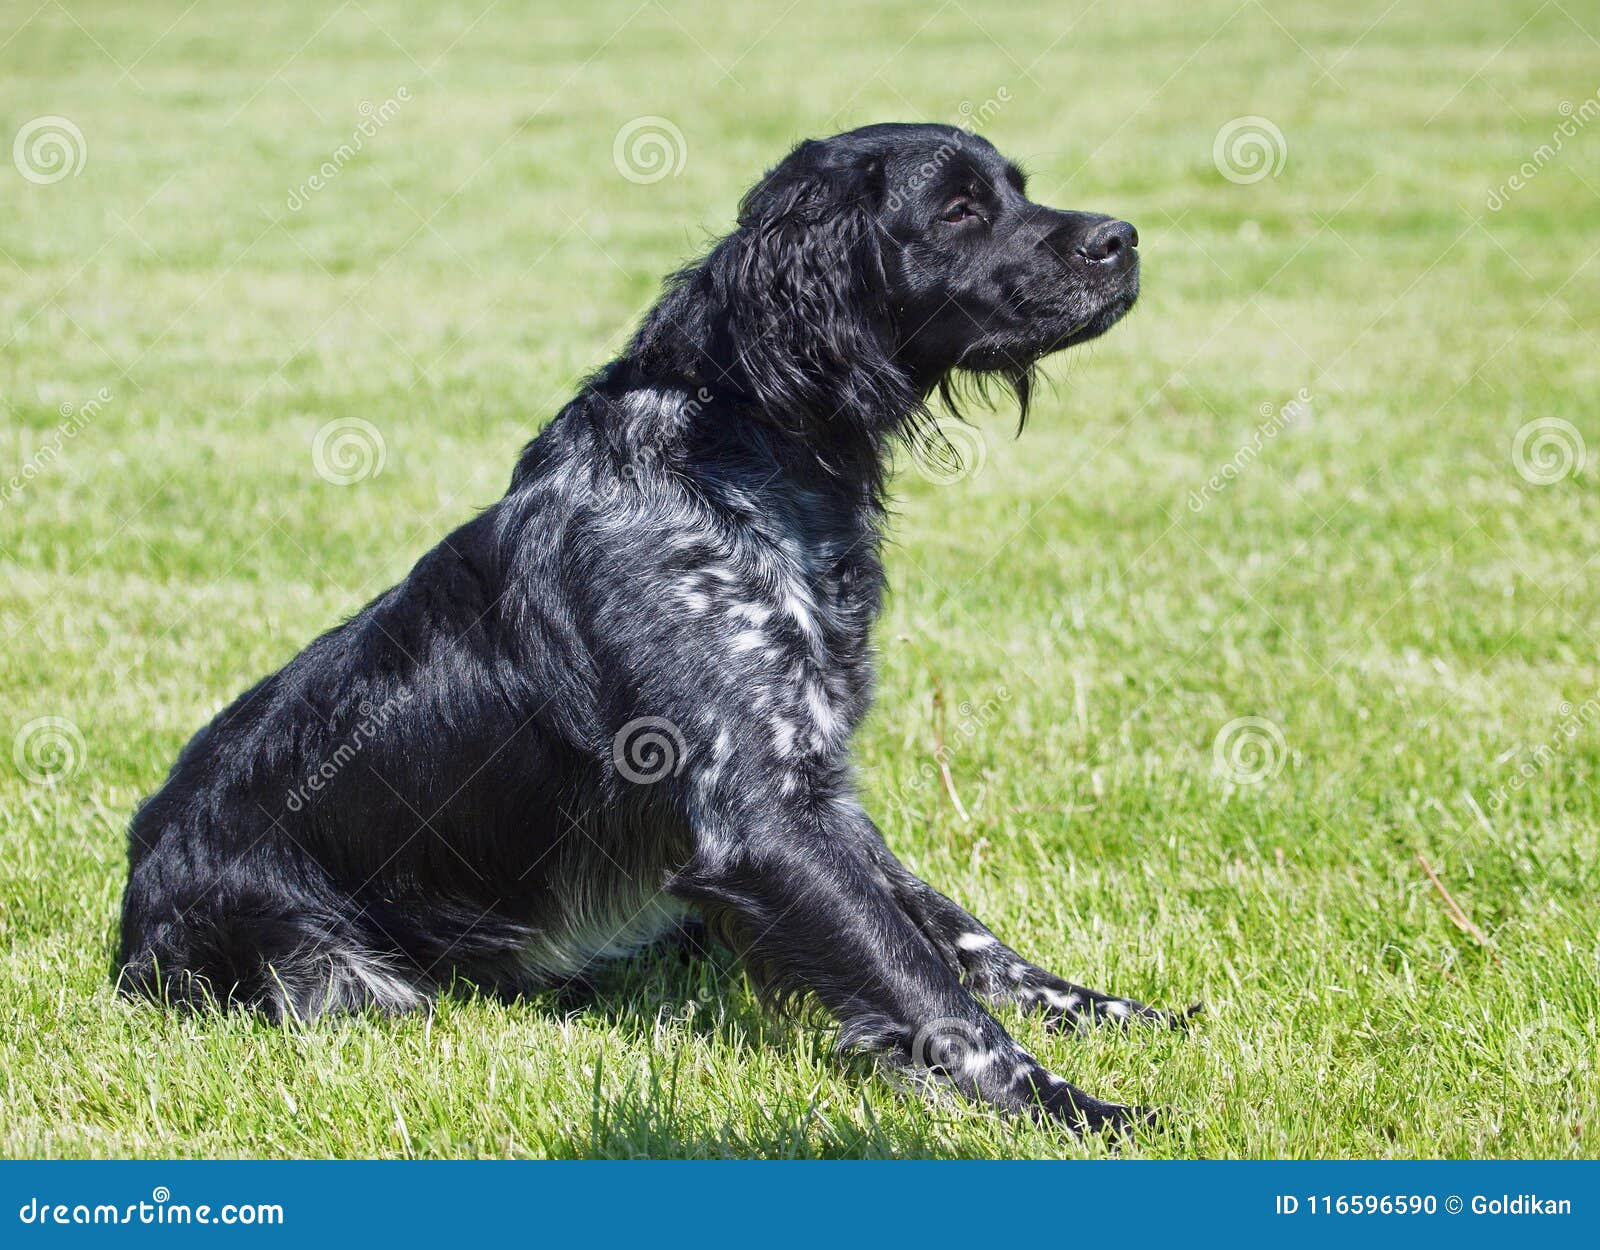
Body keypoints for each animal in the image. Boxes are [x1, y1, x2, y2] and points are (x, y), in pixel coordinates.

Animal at [118, 124, 1184, 1133]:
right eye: (960, 208)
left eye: (1015, 188)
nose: (1125, 239)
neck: (736, 455)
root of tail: (135, 890)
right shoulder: (758, 817)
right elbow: (933, 994)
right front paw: (1074, 1111)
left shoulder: (818, 786)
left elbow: (956, 933)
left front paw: (1111, 1012)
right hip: (331, 971)